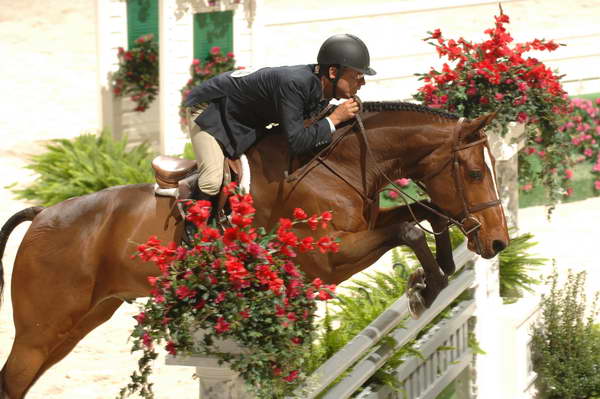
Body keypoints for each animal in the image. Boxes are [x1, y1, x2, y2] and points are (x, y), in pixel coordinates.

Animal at [0, 101, 506, 399]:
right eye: (476, 173)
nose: (497, 241)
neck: (340, 163)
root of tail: (42, 215)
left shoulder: (363, 228)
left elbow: (422, 218)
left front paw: (434, 275)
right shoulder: (329, 259)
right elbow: (409, 230)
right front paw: (425, 289)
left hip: (81, 321)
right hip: (40, 332)